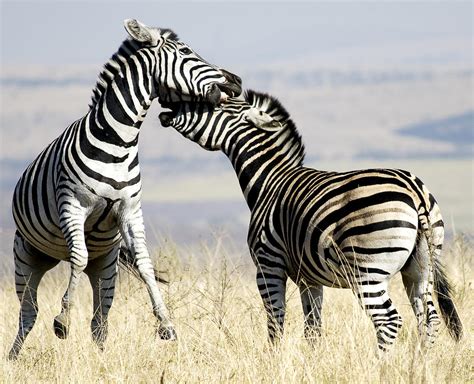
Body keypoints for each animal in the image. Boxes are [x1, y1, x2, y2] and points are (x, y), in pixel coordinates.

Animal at [8, 18, 241, 360]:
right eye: (186, 52)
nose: (236, 81)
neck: (119, 141)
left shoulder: (129, 210)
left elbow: (145, 264)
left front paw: (166, 323)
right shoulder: (72, 204)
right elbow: (78, 257)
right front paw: (63, 318)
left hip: (105, 267)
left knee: (99, 320)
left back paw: (100, 358)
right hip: (26, 256)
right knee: (28, 312)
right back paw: (13, 357)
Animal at [159, 90, 462, 352]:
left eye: (214, 105)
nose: (166, 104)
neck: (269, 179)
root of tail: (414, 190)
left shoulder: (268, 265)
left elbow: (275, 322)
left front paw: (273, 360)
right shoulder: (309, 278)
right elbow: (313, 327)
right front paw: (312, 361)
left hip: (367, 271)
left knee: (389, 320)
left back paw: (381, 366)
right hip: (421, 267)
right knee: (429, 318)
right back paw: (420, 363)